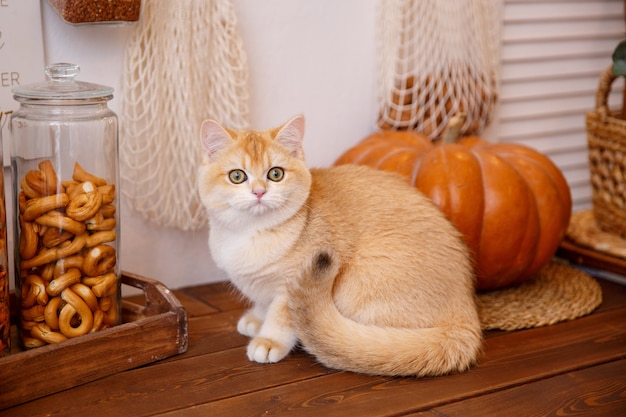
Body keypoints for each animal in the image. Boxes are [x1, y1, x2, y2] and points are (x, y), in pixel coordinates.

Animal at [197, 115, 480, 376]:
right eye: (237, 176)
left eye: (275, 174)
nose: (259, 192)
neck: (251, 233)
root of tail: (465, 314)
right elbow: (263, 302)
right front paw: (257, 317)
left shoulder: (291, 284)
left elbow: (281, 316)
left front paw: (269, 340)